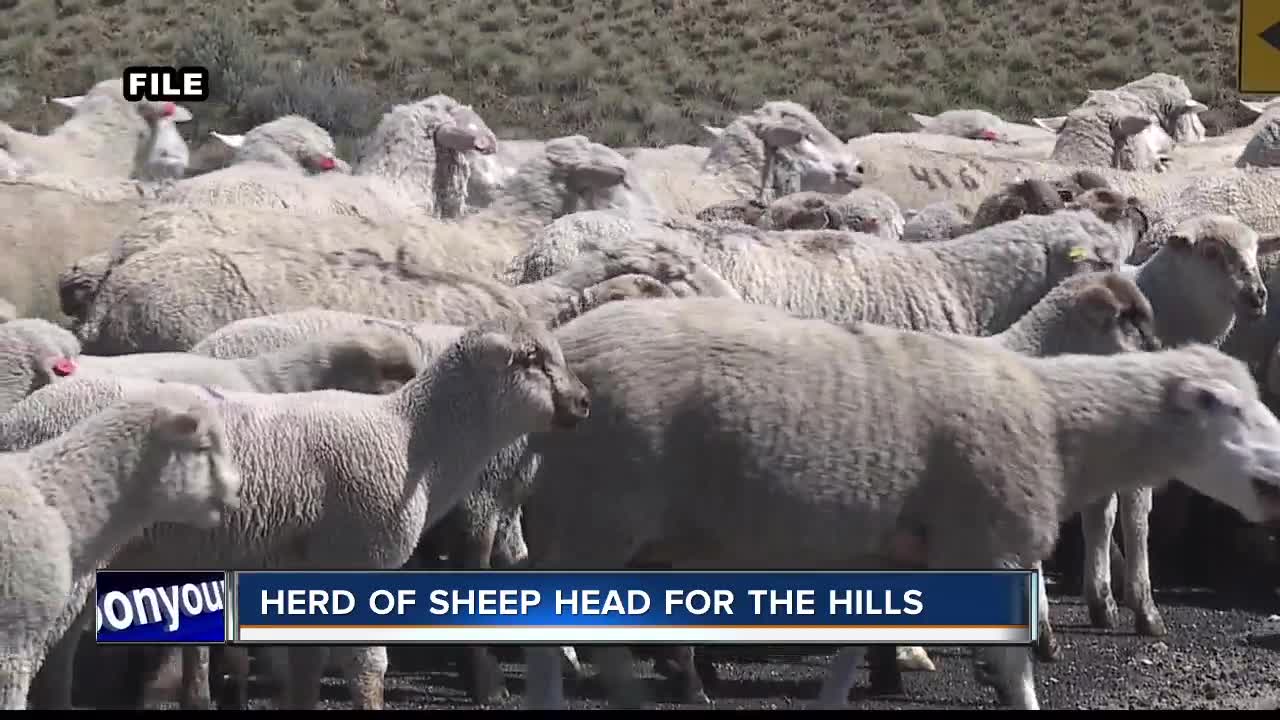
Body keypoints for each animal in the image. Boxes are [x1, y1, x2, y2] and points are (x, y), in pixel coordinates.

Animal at [514, 295, 1280, 707]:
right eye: (1219, 405)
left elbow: (855, 650)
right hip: (597, 513)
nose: (1275, 480)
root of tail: (566, 351)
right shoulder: (987, 547)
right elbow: (1014, 668)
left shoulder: (895, 557)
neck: (1054, 418)